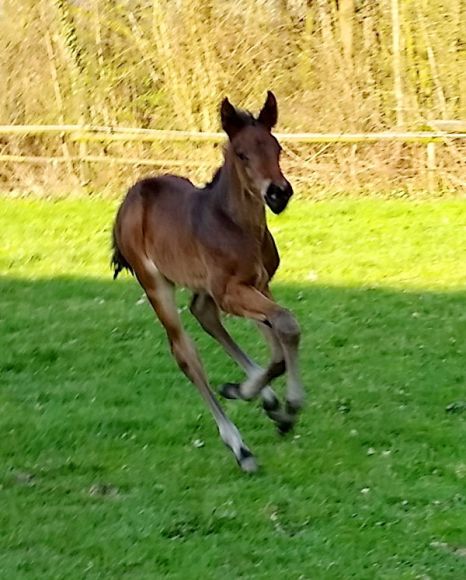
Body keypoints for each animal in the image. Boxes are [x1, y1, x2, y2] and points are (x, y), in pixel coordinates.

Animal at [111, 90, 304, 472]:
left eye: (276, 148)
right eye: (242, 154)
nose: (278, 193)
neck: (236, 225)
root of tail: (129, 200)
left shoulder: (259, 283)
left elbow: (279, 339)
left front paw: (264, 400)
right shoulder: (231, 291)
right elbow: (285, 326)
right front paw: (283, 405)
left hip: (207, 288)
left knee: (204, 312)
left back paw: (260, 399)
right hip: (155, 283)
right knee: (186, 354)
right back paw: (241, 448)